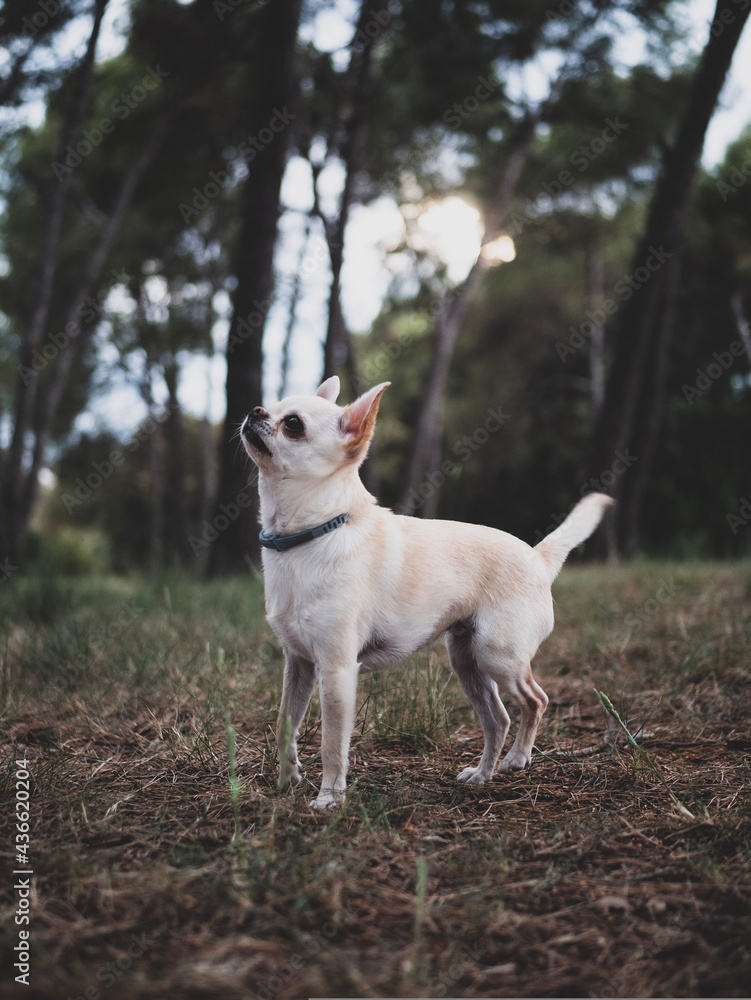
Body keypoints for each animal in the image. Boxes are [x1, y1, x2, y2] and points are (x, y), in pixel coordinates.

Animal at [244, 378, 612, 808]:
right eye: (272, 406)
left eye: (293, 424)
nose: (254, 410)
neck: (312, 533)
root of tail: (538, 557)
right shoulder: (298, 664)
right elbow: (285, 724)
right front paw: (286, 781)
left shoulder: (336, 671)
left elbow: (332, 742)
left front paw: (330, 798)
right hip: (467, 661)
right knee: (499, 718)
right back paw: (482, 774)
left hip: (498, 656)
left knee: (535, 700)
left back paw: (518, 759)